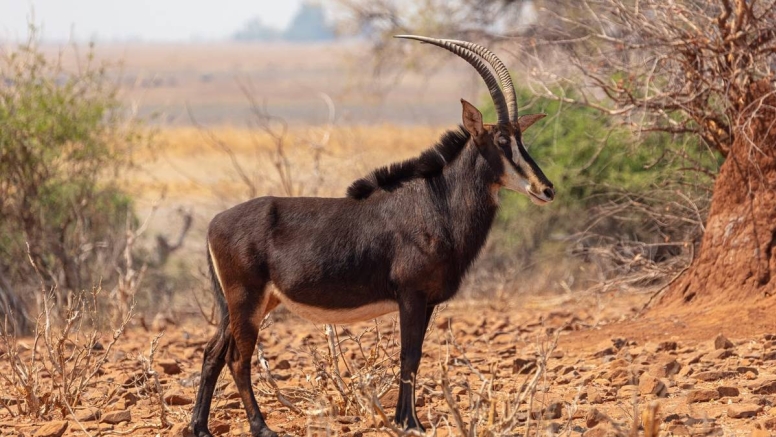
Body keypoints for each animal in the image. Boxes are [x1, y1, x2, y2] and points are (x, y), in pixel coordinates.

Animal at [191, 35, 556, 434]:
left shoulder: (428, 301)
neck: (435, 202)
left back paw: (200, 426)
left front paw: (408, 418)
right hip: (247, 301)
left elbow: (415, 355)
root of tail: (214, 223)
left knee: (212, 352)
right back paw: (261, 426)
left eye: (521, 138)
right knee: (237, 359)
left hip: (244, 304)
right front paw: (408, 422)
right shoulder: (411, 295)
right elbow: (409, 356)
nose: (546, 189)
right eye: (501, 140)